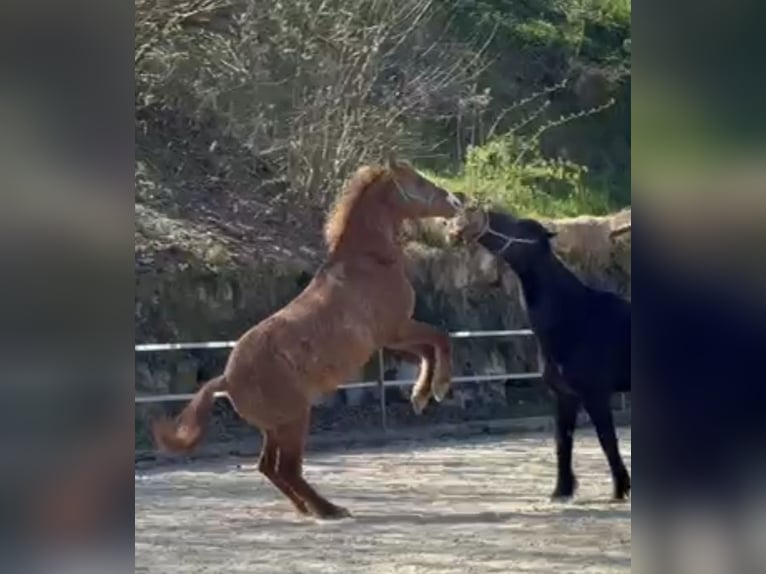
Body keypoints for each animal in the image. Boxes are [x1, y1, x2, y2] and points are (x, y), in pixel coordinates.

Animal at [151, 157, 463, 519]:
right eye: (418, 182)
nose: (456, 201)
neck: (368, 261)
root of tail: (226, 379)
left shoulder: (391, 338)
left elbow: (427, 350)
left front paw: (421, 395)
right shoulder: (396, 329)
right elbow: (440, 339)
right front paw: (436, 389)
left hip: (276, 428)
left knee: (269, 468)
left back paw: (307, 508)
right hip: (295, 420)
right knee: (286, 469)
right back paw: (329, 510)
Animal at [447, 207, 631, 501]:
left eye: (520, 228)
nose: (472, 215)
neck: (574, 316)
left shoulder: (595, 395)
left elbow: (607, 440)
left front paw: (620, 488)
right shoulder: (565, 396)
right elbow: (563, 441)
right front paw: (562, 490)